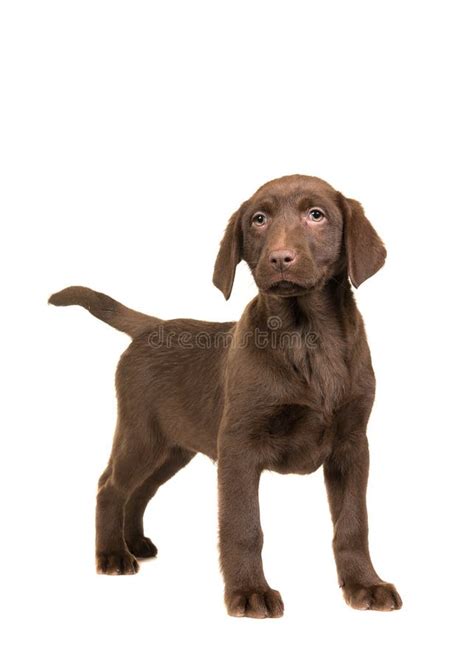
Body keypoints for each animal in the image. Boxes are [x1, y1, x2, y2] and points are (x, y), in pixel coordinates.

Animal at [50, 175, 402, 616]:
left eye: (316, 214)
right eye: (259, 219)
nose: (280, 258)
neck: (307, 336)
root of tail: (151, 327)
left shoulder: (352, 444)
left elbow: (353, 523)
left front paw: (365, 585)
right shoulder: (239, 445)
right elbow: (243, 525)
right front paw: (249, 592)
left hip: (174, 447)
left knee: (141, 490)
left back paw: (136, 544)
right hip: (141, 435)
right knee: (111, 486)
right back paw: (113, 554)